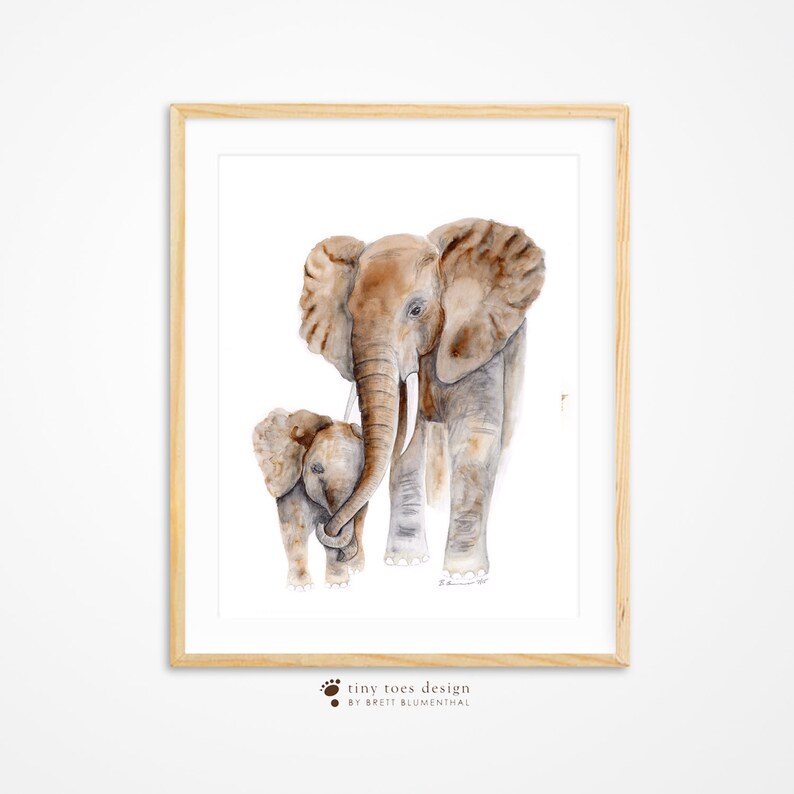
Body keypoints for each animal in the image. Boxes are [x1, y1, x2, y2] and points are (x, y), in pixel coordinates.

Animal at [252, 408, 367, 589]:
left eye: (361, 473)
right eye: (316, 468)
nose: (344, 557)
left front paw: (338, 584)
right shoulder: (293, 484)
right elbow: (294, 528)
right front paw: (301, 587)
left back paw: (356, 568)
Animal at [299, 217, 545, 578]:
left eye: (416, 310)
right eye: (350, 313)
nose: (329, 529)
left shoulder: (482, 343)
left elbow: (476, 437)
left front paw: (463, 576)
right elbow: (405, 443)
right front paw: (405, 562)